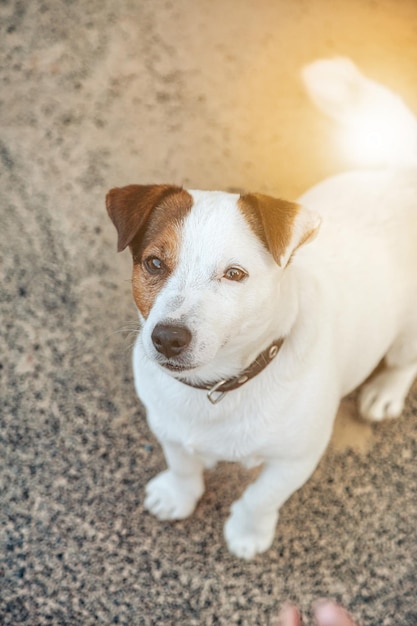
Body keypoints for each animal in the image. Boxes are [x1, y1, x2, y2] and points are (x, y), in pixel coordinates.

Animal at [105, 58, 416, 560]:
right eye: (154, 263)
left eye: (234, 274)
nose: (167, 338)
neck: (219, 386)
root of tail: (399, 174)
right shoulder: (167, 426)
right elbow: (183, 465)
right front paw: (177, 494)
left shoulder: (296, 459)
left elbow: (260, 497)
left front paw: (248, 534)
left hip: (407, 330)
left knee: (405, 361)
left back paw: (385, 391)